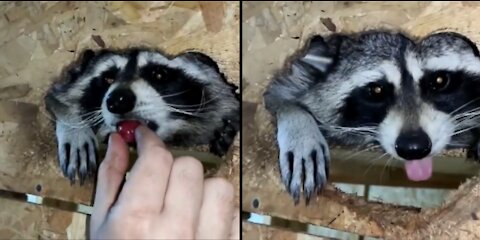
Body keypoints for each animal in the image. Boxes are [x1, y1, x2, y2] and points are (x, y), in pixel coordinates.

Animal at [45, 48, 240, 184]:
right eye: (108, 78)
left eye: (159, 74)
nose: (118, 100)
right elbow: (56, 98)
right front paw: (73, 127)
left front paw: (227, 131)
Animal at [264, 29, 480, 202]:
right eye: (376, 90)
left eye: (440, 80)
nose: (413, 147)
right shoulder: (299, 76)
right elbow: (275, 96)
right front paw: (299, 123)